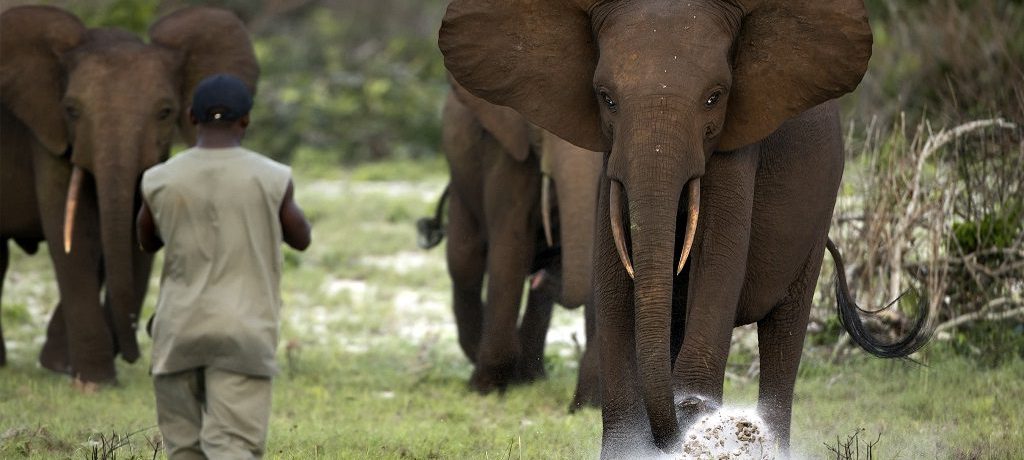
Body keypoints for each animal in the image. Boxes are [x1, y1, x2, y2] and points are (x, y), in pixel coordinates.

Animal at [0, 5, 260, 383]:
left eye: (165, 112)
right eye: (71, 110)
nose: (135, 350)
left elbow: (122, 241)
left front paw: (67, 368)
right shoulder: (48, 134)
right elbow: (74, 238)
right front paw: (94, 382)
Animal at [425, 79, 606, 409]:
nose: (542, 276)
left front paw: (589, 405)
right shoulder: (507, 151)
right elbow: (510, 243)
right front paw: (486, 388)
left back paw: (531, 376)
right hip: (461, 183)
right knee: (464, 262)